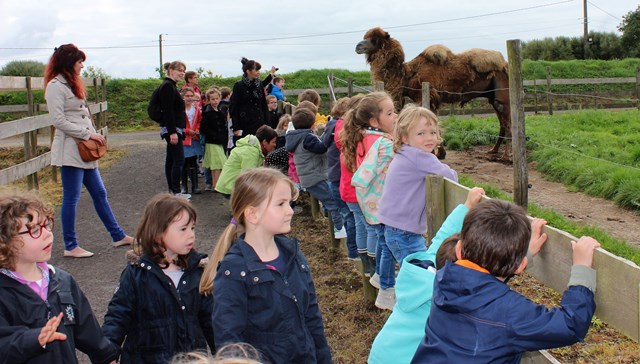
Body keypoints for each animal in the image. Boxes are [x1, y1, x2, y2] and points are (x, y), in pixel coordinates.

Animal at [352, 26, 512, 160]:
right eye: (366, 37)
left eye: (375, 39)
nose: (358, 46)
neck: (407, 76)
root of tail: (505, 65)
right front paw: (440, 153)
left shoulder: (428, 96)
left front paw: (436, 153)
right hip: (492, 98)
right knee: (502, 124)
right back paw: (492, 151)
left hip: (503, 96)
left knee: (509, 123)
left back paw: (506, 157)